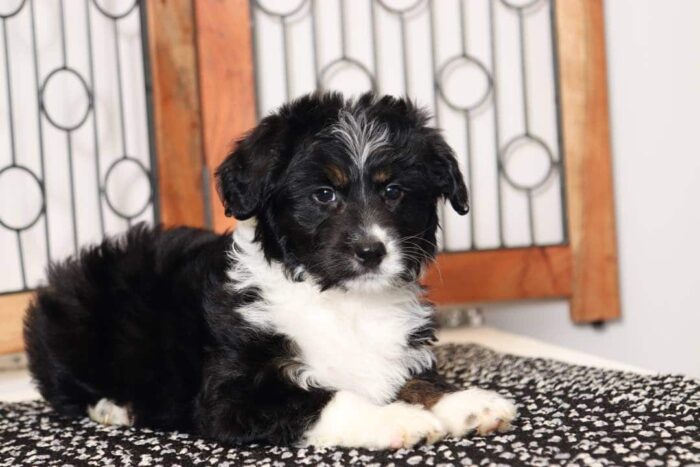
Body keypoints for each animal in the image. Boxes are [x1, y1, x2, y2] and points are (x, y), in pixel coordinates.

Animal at [23, 92, 516, 450]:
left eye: (393, 191)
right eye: (324, 194)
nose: (370, 251)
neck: (343, 301)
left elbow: (415, 380)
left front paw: (466, 403)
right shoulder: (230, 395)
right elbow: (327, 399)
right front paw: (395, 419)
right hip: (72, 329)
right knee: (67, 391)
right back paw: (114, 408)